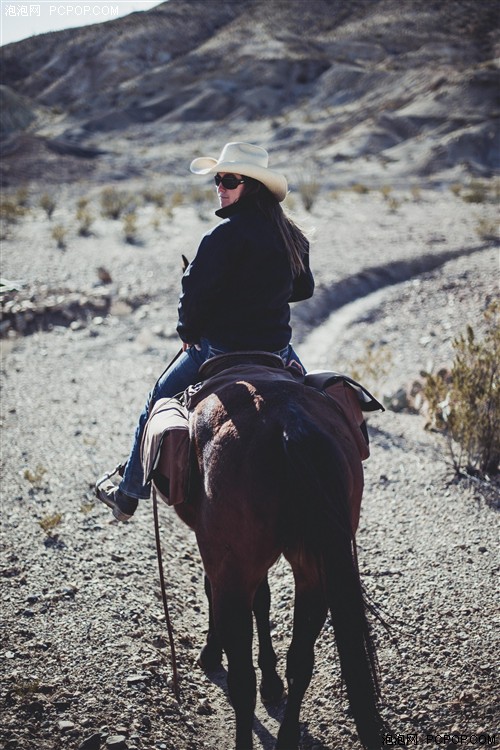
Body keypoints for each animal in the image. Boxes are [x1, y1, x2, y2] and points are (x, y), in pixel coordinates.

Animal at [175, 358, 382, 750]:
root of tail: (290, 422)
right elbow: (265, 601)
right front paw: (272, 682)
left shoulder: (220, 554)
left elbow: (218, 591)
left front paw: (211, 653)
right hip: (314, 567)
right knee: (301, 661)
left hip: (236, 568)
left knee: (242, 681)